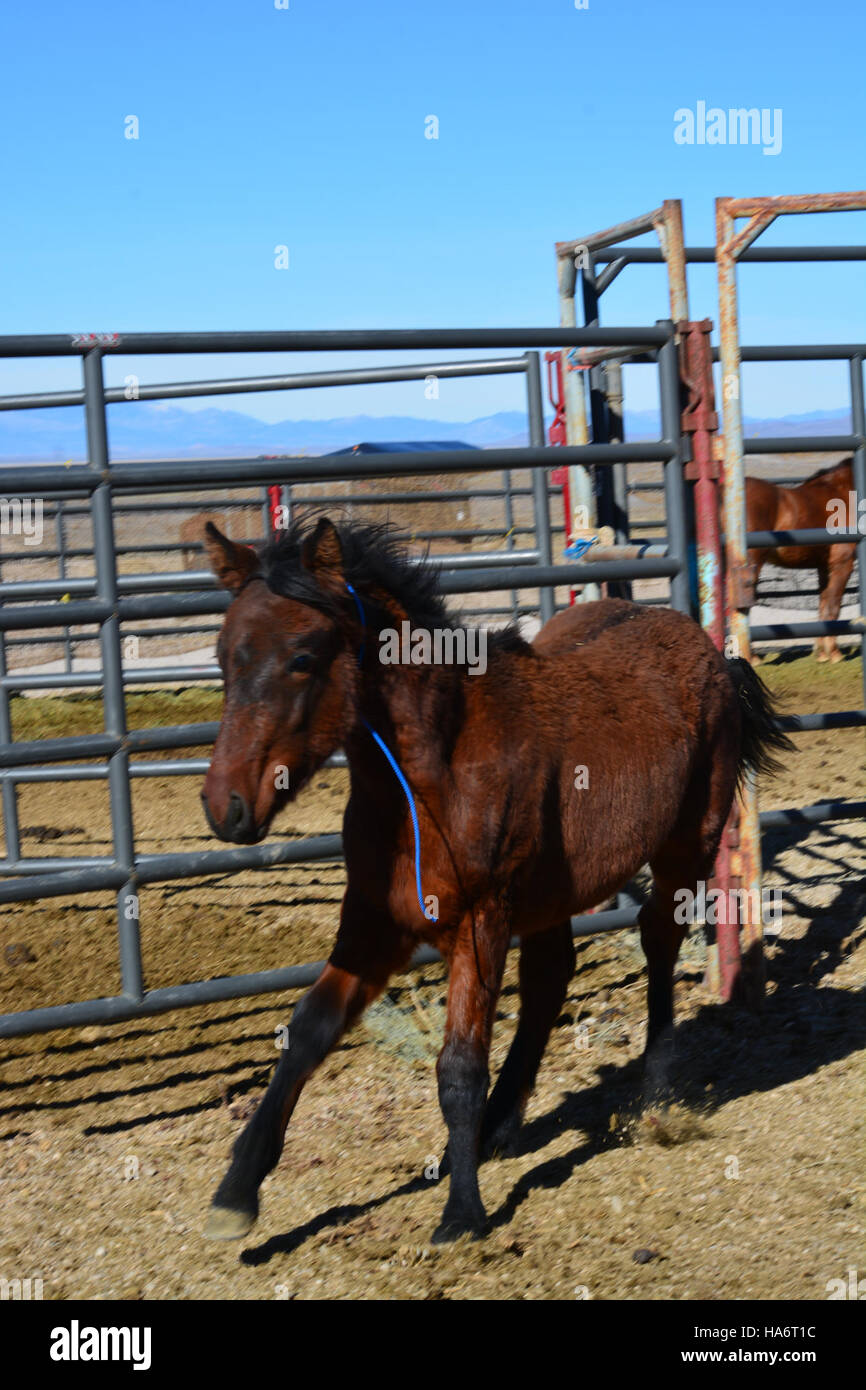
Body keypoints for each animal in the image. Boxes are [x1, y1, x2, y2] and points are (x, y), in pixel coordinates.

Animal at [199, 515, 791, 1244]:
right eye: (224, 658)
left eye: (303, 657)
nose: (225, 808)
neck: (434, 776)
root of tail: (709, 651)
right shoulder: (375, 920)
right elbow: (309, 1029)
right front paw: (237, 1191)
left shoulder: (480, 921)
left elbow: (459, 1065)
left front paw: (462, 1211)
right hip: (553, 894)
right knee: (550, 979)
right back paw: (501, 1124)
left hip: (688, 845)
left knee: (657, 944)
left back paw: (653, 1093)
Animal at [745, 459, 855, 663]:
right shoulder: (842, 564)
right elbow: (833, 607)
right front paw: (835, 654)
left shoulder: (824, 567)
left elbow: (823, 607)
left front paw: (822, 654)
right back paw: (751, 657)